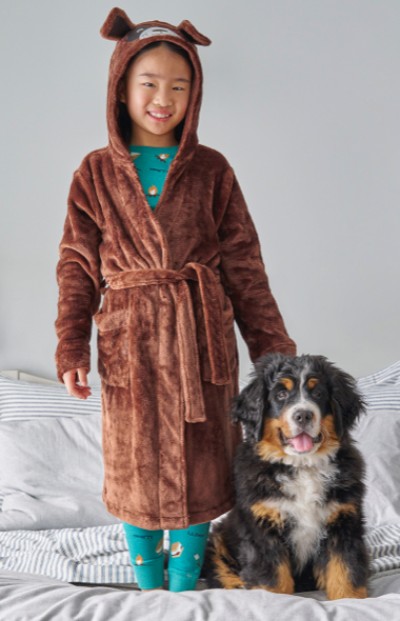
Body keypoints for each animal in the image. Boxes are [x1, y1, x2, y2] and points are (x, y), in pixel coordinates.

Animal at [206, 352, 368, 600]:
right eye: (281, 394)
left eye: (318, 393)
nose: (303, 415)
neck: (302, 467)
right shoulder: (263, 525)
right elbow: (272, 578)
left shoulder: (343, 522)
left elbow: (345, 569)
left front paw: (350, 601)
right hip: (218, 542)